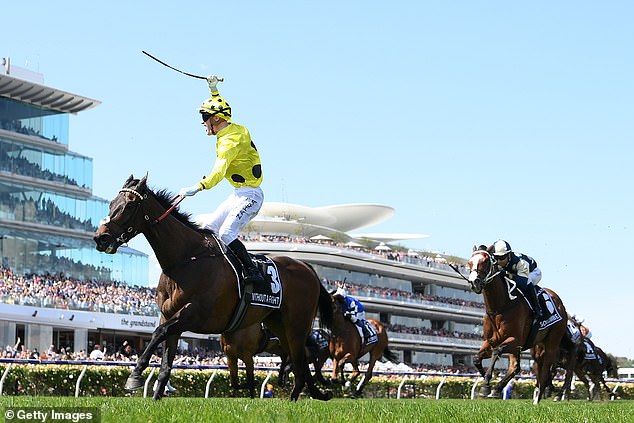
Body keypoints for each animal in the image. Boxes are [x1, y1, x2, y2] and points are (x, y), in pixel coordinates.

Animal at [93, 176, 334, 400]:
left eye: (130, 205)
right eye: (111, 203)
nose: (100, 238)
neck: (186, 259)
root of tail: (308, 268)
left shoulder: (195, 314)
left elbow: (157, 333)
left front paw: (135, 375)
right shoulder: (169, 315)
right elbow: (165, 362)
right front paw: (155, 395)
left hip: (297, 325)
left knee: (301, 361)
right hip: (279, 324)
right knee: (299, 363)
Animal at [464, 245, 568, 404]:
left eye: (486, 261)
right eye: (470, 262)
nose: (473, 282)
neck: (500, 307)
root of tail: (560, 303)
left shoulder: (515, 340)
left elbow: (497, 351)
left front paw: (486, 385)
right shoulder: (491, 341)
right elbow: (476, 359)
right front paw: (488, 382)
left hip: (552, 341)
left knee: (547, 367)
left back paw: (541, 395)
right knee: (516, 367)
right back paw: (498, 388)